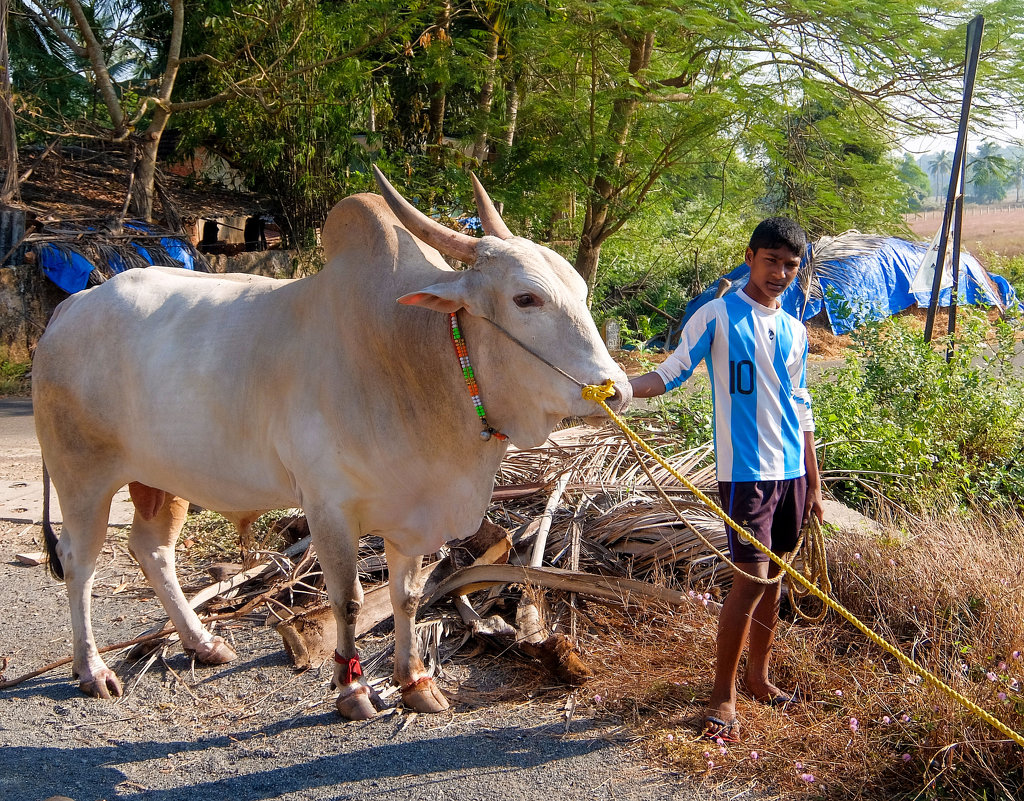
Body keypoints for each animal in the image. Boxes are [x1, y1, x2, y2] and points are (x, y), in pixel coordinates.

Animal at [32, 169, 630, 721]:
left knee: (153, 551)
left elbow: (407, 596)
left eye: (581, 293)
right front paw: (352, 690)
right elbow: (347, 600)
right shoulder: (329, 508)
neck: (416, 354)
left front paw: (414, 682)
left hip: (163, 477)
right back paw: (93, 669)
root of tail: (72, 306)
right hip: (82, 475)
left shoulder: (413, 514)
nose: (617, 390)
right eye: (526, 298)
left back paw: (201, 643)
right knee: (80, 562)